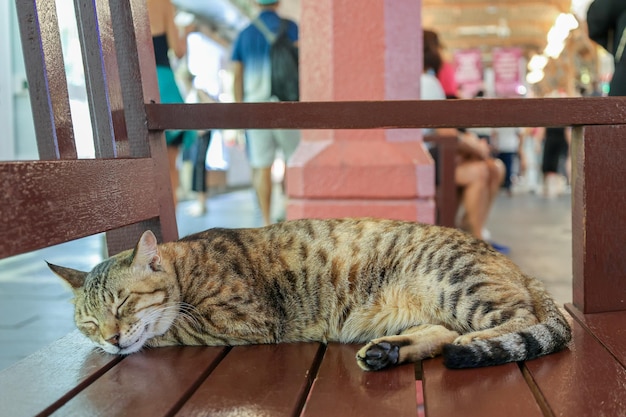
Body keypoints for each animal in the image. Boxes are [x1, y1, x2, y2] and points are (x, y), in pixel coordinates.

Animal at [48, 216, 572, 368]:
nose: (111, 338)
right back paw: (388, 351)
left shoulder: (240, 318)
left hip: (458, 285)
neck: (186, 266)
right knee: (440, 333)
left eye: (123, 303)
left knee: (522, 319)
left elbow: (167, 330)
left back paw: (472, 341)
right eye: (89, 322)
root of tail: (516, 266)